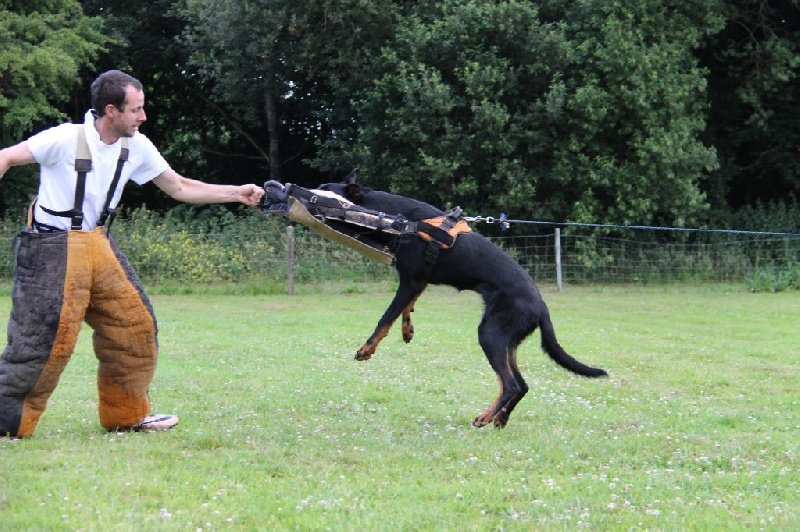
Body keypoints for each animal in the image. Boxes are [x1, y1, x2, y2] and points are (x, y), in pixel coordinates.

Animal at [262, 176, 608, 428]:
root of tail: (542, 307)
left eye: (321, 190)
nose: (279, 185)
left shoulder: (410, 279)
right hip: (506, 339)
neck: (395, 218)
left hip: (490, 333)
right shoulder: (418, 281)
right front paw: (407, 330)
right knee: (520, 385)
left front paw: (367, 349)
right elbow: (406, 309)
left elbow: (386, 316)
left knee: (511, 385)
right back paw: (499, 418)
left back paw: (486, 417)